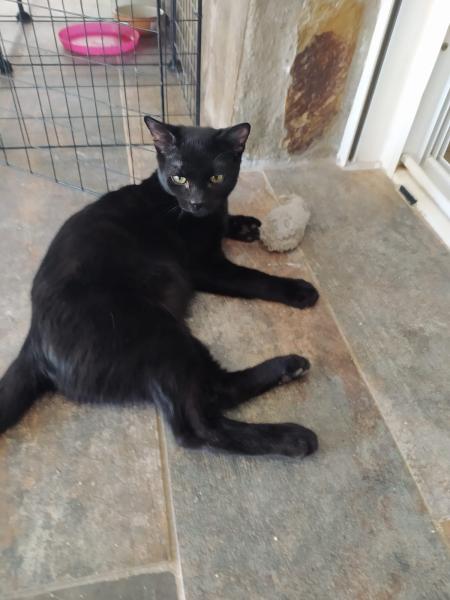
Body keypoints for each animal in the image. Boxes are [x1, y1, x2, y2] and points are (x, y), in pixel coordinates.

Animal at [0, 117, 319, 457]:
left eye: (216, 178)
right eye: (179, 178)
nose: (197, 202)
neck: (178, 206)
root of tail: (33, 342)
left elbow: (224, 219)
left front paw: (243, 224)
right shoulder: (205, 267)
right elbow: (254, 278)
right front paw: (299, 290)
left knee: (215, 393)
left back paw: (290, 369)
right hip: (162, 333)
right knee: (198, 426)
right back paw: (293, 436)